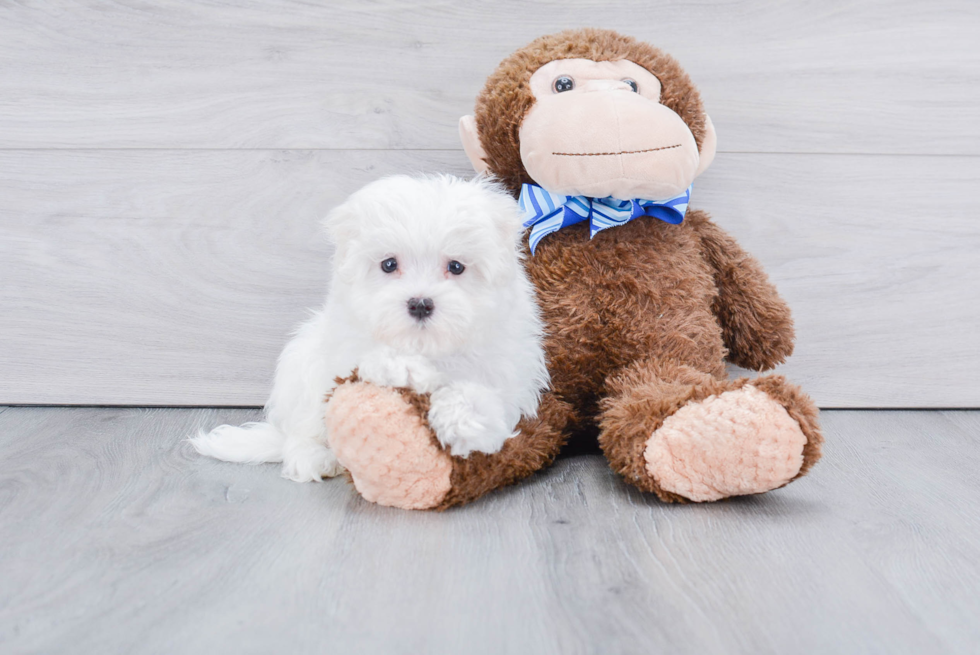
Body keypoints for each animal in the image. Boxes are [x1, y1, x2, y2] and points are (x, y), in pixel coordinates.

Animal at [188, 174, 548, 482]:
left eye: (456, 267)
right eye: (389, 264)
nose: (420, 303)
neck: (426, 347)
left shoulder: (506, 371)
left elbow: (485, 397)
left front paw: (463, 424)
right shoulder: (347, 345)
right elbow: (372, 360)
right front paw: (404, 369)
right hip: (301, 366)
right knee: (302, 429)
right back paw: (314, 458)